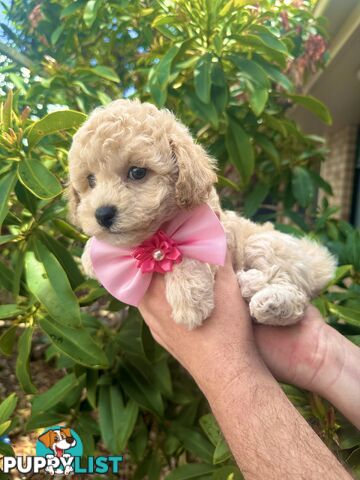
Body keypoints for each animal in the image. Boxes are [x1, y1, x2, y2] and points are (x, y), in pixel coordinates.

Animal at [67, 99, 334, 328]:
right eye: (90, 180)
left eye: (137, 172)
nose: (102, 214)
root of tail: (316, 261)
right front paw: (90, 256)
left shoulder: (216, 233)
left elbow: (188, 252)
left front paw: (189, 301)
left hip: (266, 244)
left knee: (294, 291)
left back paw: (266, 298)